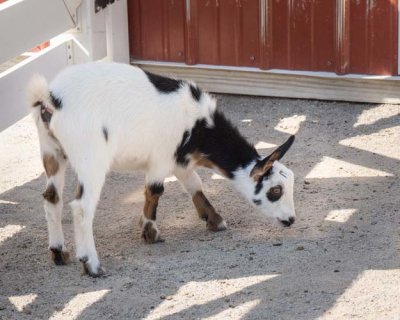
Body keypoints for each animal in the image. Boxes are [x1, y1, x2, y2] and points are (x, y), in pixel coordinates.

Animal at [28, 63, 296, 278]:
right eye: (275, 190)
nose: (291, 220)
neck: (199, 126)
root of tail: (51, 98)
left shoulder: (179, 160)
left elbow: (195, 185)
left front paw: (214, 219)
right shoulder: (161, 158)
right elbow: (155, 190)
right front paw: (150, 233)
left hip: (51, 152)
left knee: (51, 198)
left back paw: (58, 252)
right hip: (90, 158)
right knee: (82, 207)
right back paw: (92, 265)